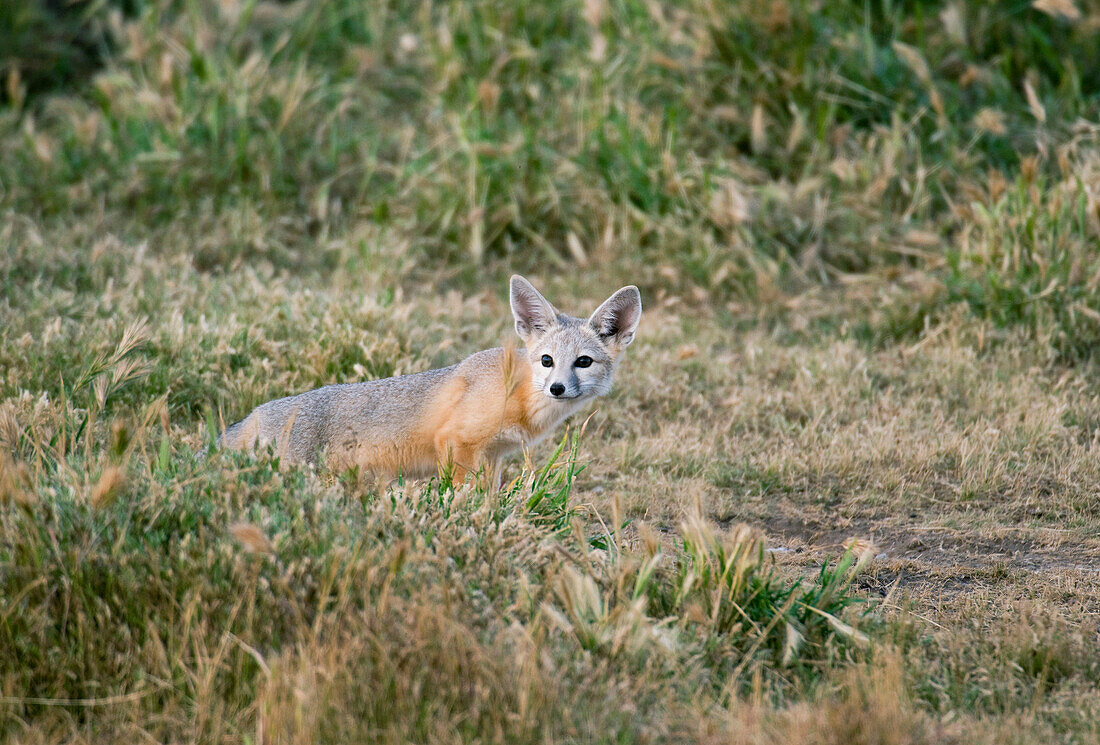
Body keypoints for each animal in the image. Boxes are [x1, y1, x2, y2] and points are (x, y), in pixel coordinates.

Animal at [215, 275, 642, 481]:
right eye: (547, 360)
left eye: (583, 362)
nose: (557, 388)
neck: (517, 395)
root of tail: (254, 413)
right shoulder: (456, 443)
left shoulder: (492, 456)